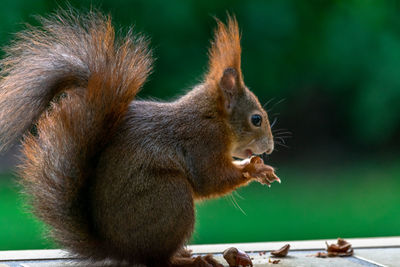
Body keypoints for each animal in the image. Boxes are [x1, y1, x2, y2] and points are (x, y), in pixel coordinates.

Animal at [0, 9, 280, 266]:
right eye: (256, 119)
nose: (269, 148)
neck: (213, 117)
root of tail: (118, 249)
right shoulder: (203, 143)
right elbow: (211, 180)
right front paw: (255, 168)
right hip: (171, 198)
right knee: (158, 259)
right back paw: (189, 260)